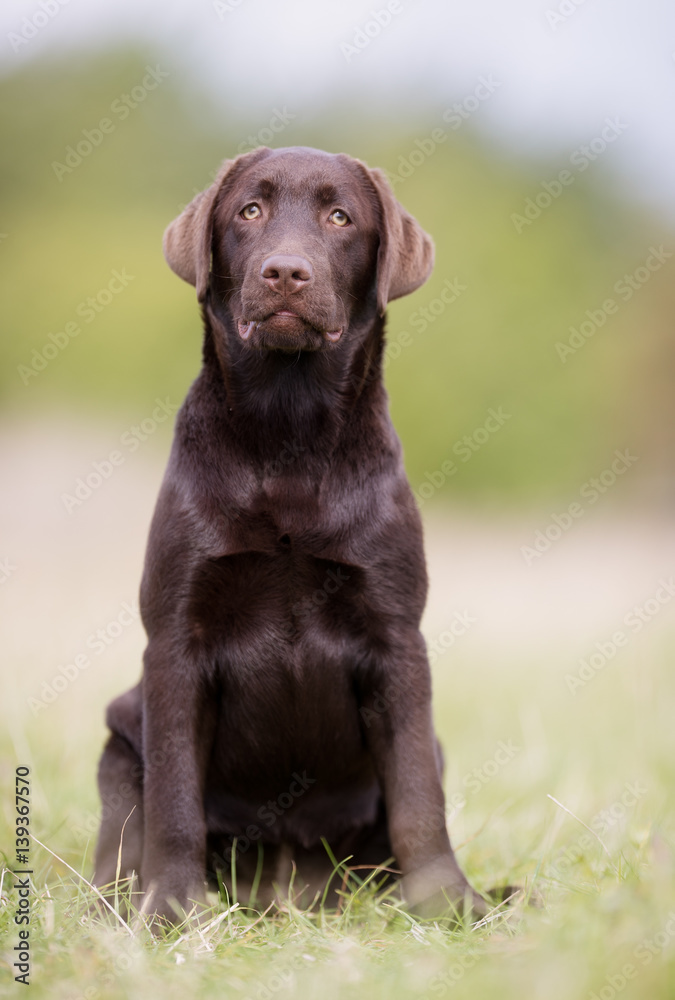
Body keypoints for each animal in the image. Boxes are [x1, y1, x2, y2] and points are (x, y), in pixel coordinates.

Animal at [92, 146, 488, 920]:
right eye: (250, 210)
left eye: (340, 217)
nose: (284, 272)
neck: (289, 430)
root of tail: (281, 888)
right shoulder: (175, 642)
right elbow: (175, 800)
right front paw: (173, 912)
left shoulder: (398, 639)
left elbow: (418, 802)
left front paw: (448, 906)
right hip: (120, 739)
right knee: (121, 838)